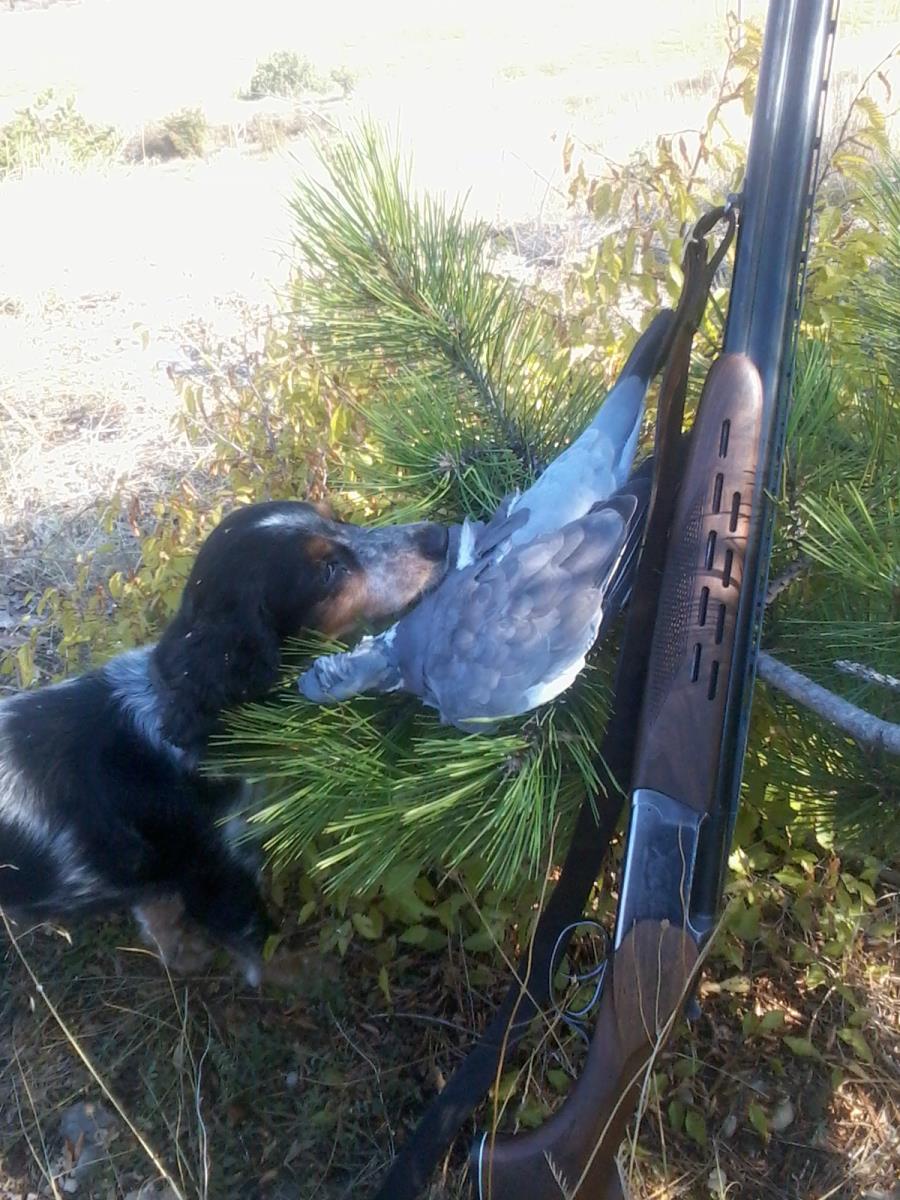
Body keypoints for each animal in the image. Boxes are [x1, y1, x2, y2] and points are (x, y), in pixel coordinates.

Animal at [0, 500, 450, 982]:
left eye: (337, 520)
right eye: (328, 571)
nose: (438, 536)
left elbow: (160, 914)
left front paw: (185, 956)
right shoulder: (219, 873)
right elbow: (263, 949)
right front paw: (310, 975)